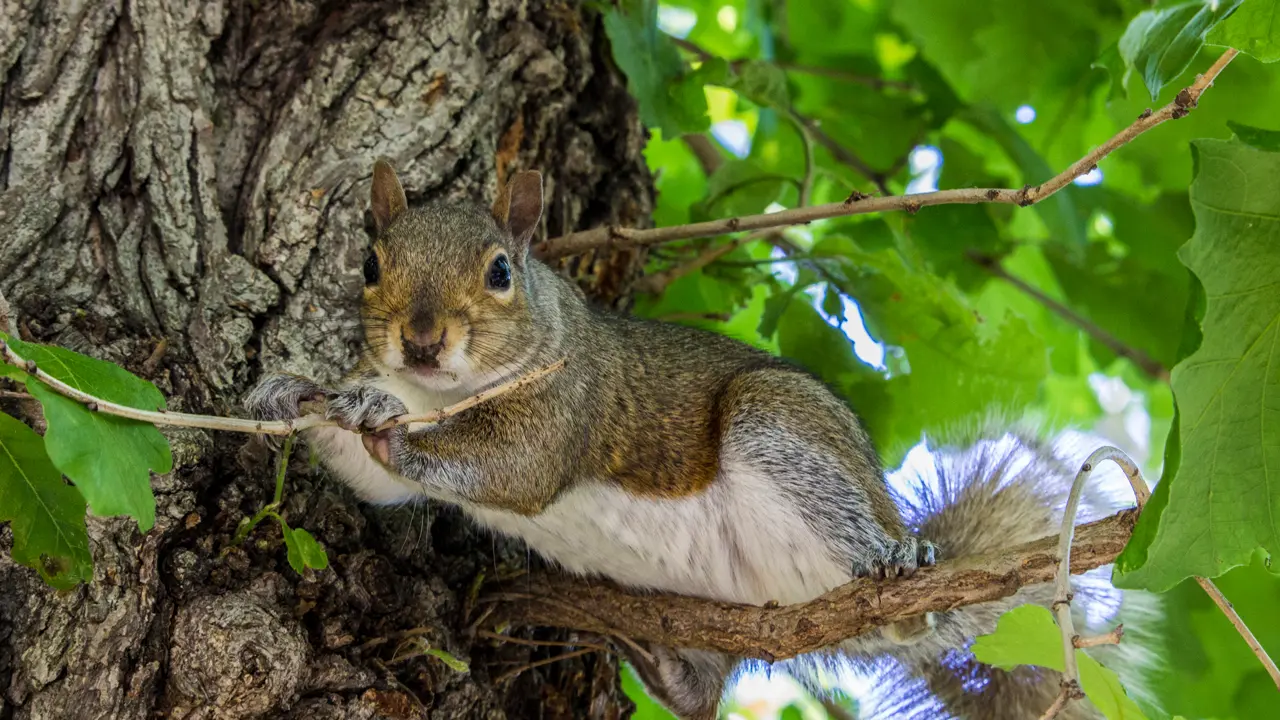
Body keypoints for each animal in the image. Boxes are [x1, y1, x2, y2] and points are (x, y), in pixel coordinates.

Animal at [247, 158, 1162, 717]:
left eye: (501, 270)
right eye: (371, 265)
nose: (422, 340)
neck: (442, 394)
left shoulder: (568, 406)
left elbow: (511, 468)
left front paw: (393, 435)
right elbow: (373, 479)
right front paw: (297, 391)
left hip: (777, 426)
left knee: (896, 601)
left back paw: (897, 564)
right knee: (701, 692)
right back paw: (650, 655)